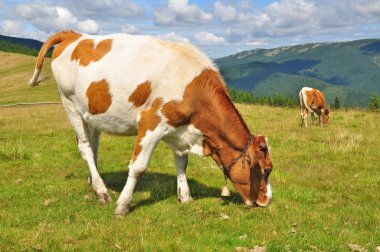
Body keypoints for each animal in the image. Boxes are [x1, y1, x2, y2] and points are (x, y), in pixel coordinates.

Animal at [29, 30, 274, 216]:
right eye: (266, 170)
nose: (268, 200)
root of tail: (74, 34)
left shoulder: (178, 128)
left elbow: (182, 163)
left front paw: (185, 197)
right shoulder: (152, 123)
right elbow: (138, 167)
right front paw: (123, 205)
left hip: (92, 113)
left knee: (94, 145)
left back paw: (94, 181)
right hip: (69, 103)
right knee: (85, 147)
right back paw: (102, 191)